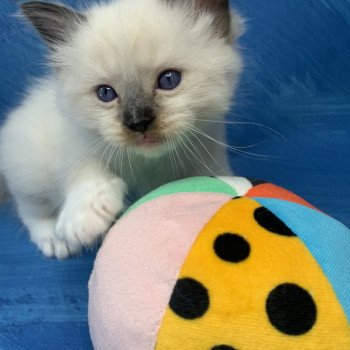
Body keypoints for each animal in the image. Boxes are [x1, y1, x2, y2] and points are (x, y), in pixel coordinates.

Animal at [0, 0, 243, 258]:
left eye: (169, 79)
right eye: (105, 93)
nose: (138, 122)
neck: (149, 163)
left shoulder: (208, 156)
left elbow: (213, 181)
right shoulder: (81, 147)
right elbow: (88, 175)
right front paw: (84, 222)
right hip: (29, 174)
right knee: (30, 210)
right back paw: (55, 241)